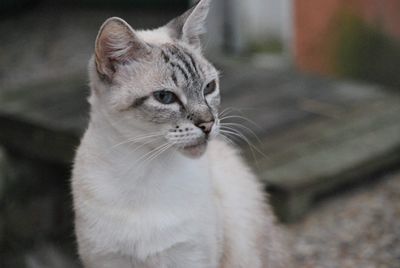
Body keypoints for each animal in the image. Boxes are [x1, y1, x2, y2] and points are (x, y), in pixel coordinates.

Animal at [72, 1, 290, 266]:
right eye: (165, 97)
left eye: (209, 88)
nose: (208, 124)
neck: (145, 170)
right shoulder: (106, 259)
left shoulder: (191, 258)